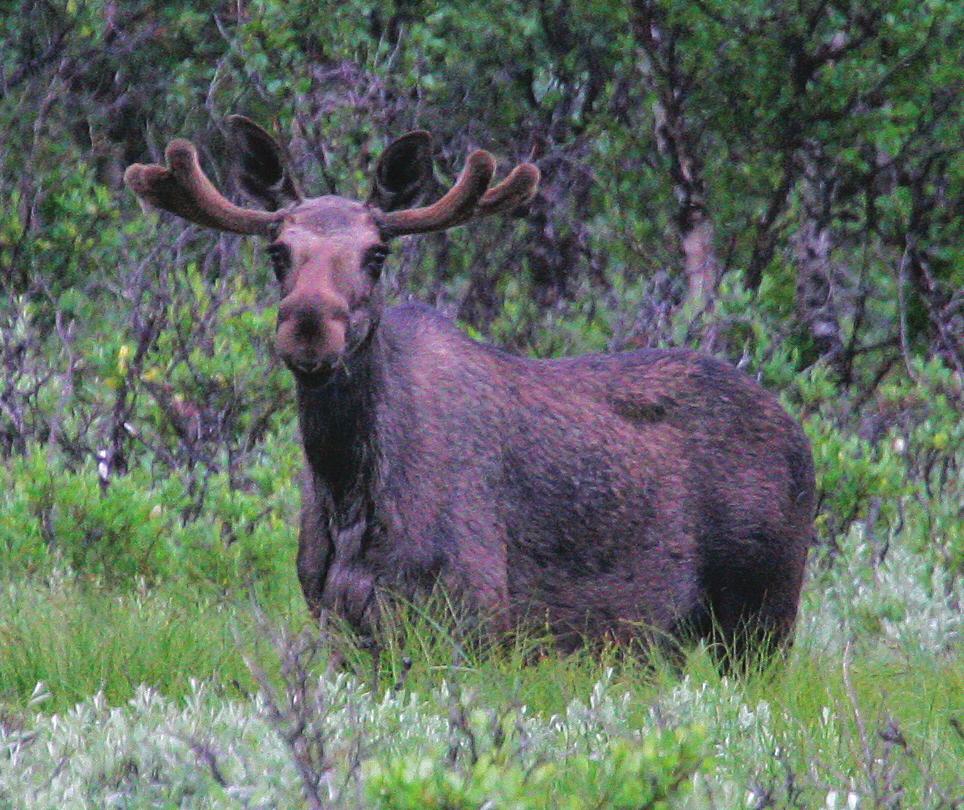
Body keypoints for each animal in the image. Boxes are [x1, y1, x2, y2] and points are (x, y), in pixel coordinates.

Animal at [122, 118, 812, 664]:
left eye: (377, 252)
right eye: (277, 250)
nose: (310, 328)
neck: (349, 494)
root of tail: (800, 438)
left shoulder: (472, 616)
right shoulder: (337, 624)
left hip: (762, 614)